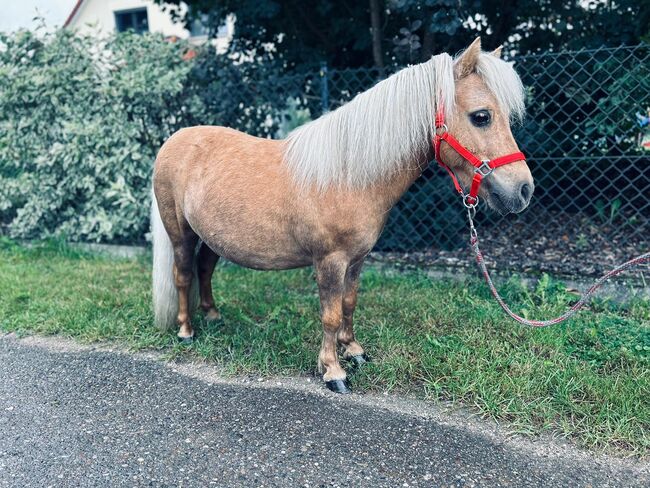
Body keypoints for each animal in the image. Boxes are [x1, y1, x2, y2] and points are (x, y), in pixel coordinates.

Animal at [151, 40, 532, 394]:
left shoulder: (357, 258)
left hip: (213, 237)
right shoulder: (330, 261)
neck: (348, 177)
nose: (523, 190)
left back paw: (213, 316)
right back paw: (186, 330)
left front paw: (354, 351)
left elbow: (349, 304)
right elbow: (331, 315)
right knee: (184, 274)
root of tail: (174, 140)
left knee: (204, 268)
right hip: (180, 232)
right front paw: (333, 371)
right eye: (481, 116)